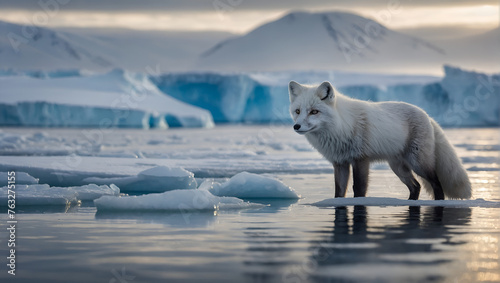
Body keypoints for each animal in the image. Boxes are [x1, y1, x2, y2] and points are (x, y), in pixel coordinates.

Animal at [290, 81, 472, 201]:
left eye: (314, 112)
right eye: (297, 111)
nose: (296, 126)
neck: (342, 126)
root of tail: (427, 115)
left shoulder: (360, 159)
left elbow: (359, 189)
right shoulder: (340, 163)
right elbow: (339, 192)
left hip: (418, 163)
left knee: (436, 183)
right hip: (398, 167)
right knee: (416, 186)